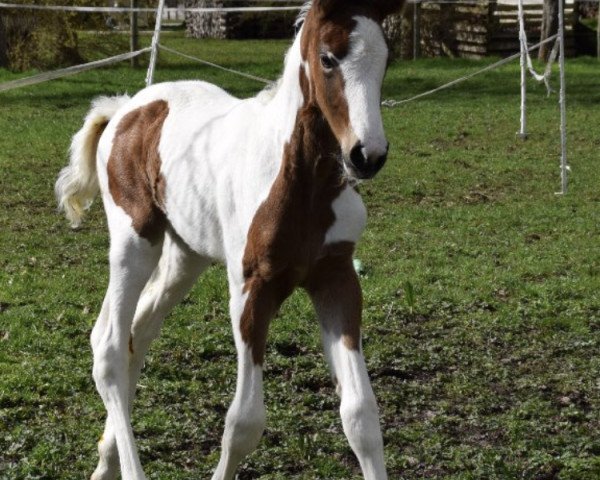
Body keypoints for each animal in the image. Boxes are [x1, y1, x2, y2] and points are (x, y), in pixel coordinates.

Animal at [55, 1, 404, 478]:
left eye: (387, 59)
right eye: (328, 59)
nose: (367, 155)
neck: (303, 185)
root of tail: (127, 107)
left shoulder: (336, 278)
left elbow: (361, 416)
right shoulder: (251, 288)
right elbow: (244, 422)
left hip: (185, 255)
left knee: (136, 335)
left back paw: (105, 462)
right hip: (134, 241)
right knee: (108, 346)